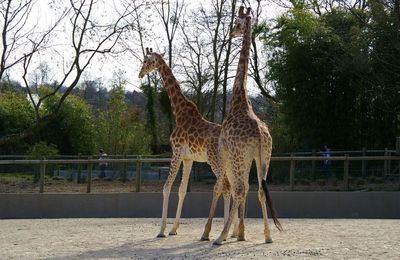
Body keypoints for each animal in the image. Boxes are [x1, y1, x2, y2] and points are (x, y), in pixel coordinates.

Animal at [214, 6, 282, 246]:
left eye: (237, 23)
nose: (230, 34)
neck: (239, 98)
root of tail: (261, 135)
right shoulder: (248, 157)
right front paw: (240, 233)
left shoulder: (225, 150)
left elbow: (230, 187)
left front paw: (232, 233)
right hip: (265, 155)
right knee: (260, 189)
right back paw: (268, 236)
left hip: (239, 156)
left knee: (241, 189)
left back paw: (219, 237)